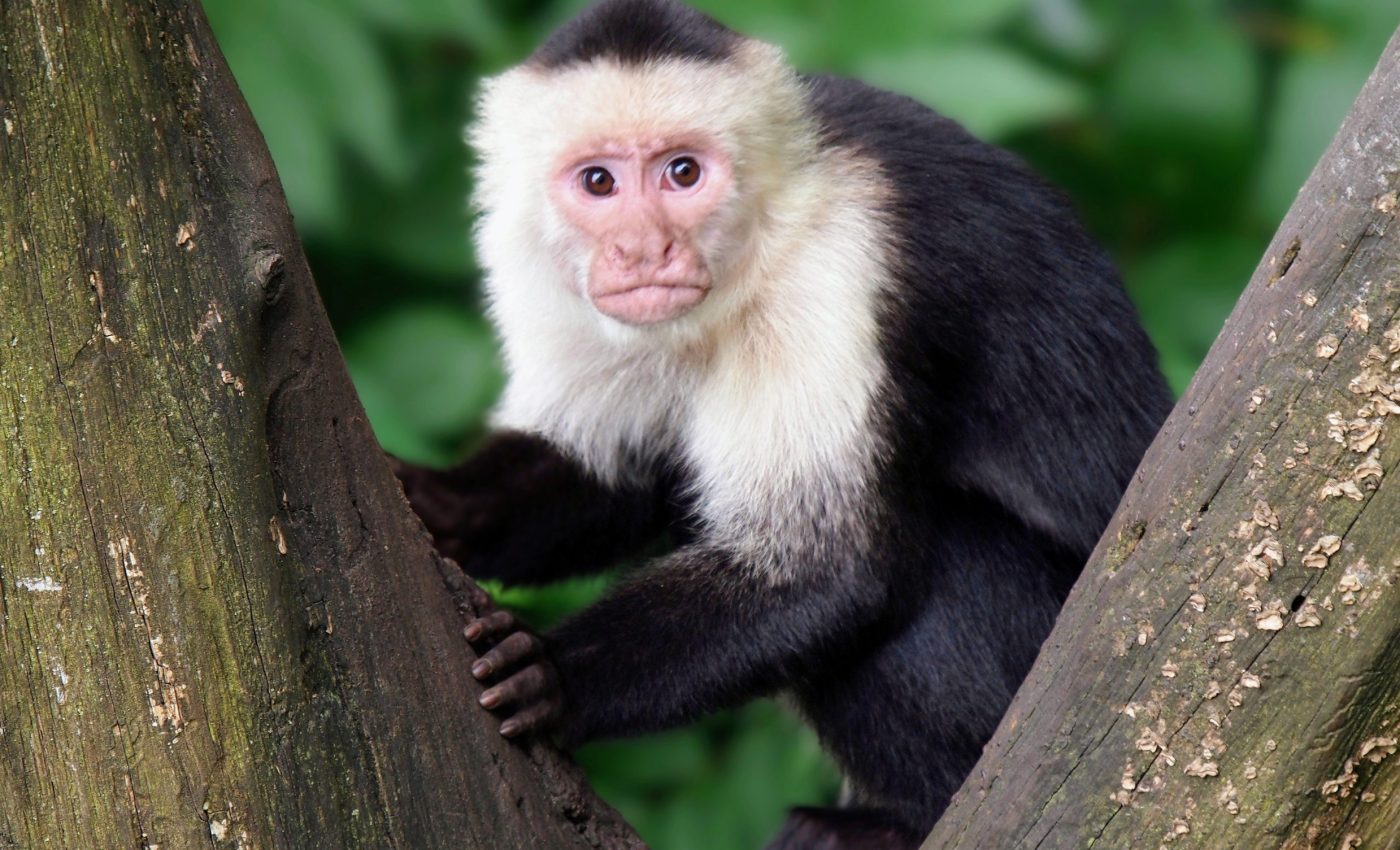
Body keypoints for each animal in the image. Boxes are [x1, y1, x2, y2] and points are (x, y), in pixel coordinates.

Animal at [394, 1, 1173, 847]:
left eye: (683, 172)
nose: (644, 249)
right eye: (598, 182)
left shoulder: (833, 266)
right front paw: (438, 504)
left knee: (938, 559)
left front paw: (555, 674)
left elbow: (823, 570)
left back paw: (903, 821)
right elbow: (615, 478)